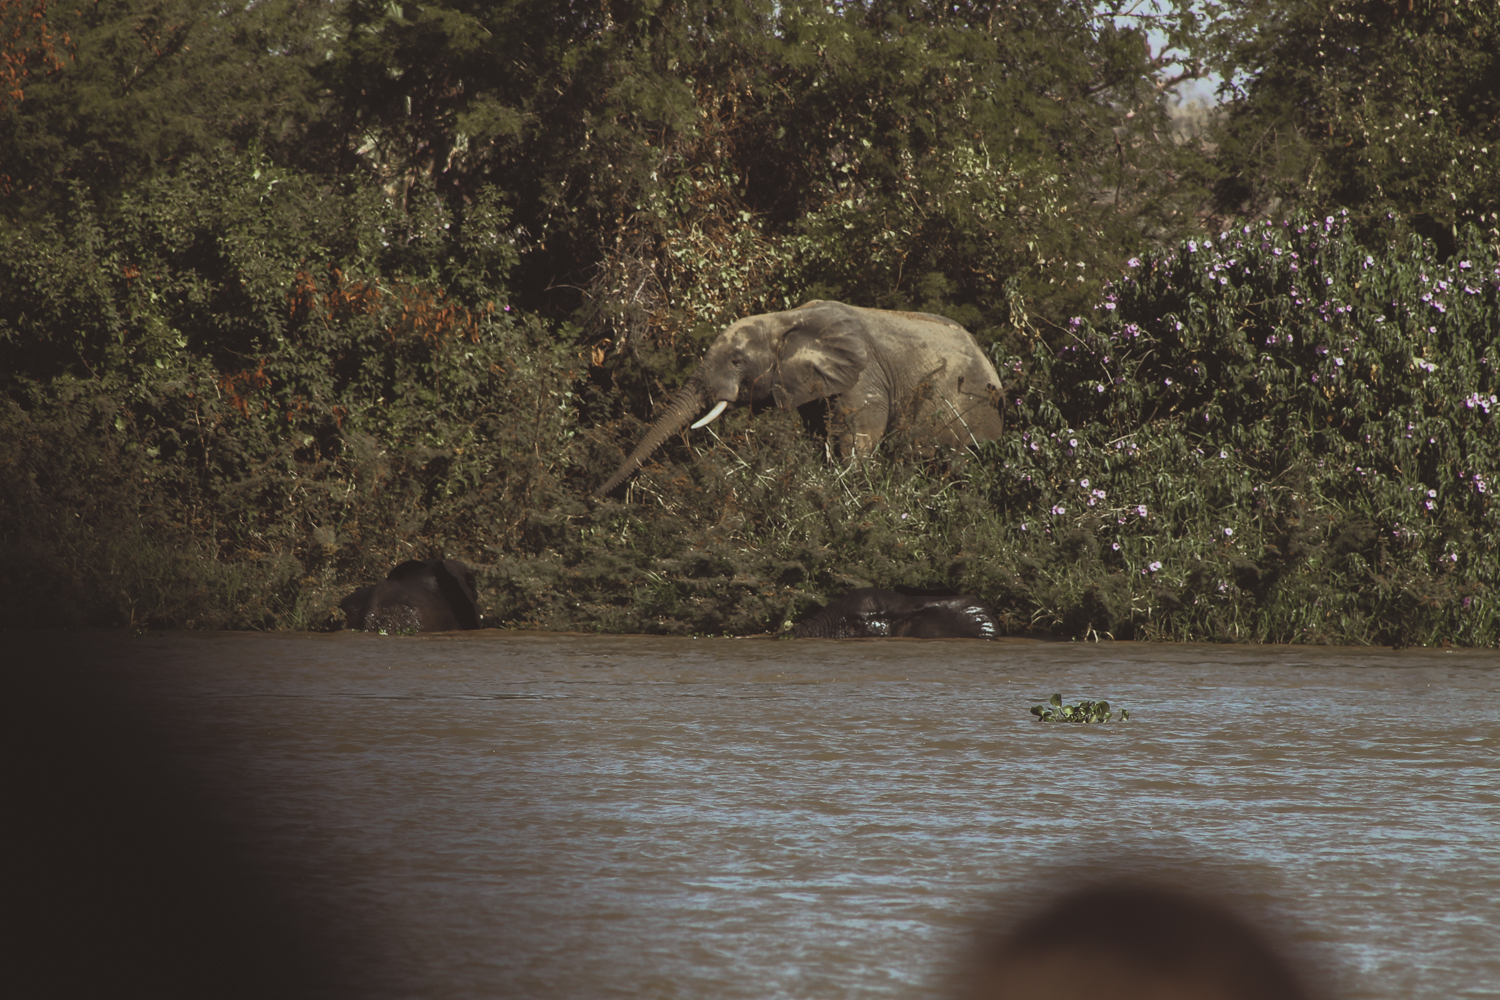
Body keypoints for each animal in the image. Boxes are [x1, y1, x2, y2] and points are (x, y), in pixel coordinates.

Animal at [591, 301, 1002, 497]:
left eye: (737, 361)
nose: (594, 497)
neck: (786, 319)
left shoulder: (865, 377)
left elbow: (856, 441)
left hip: (973, 411)